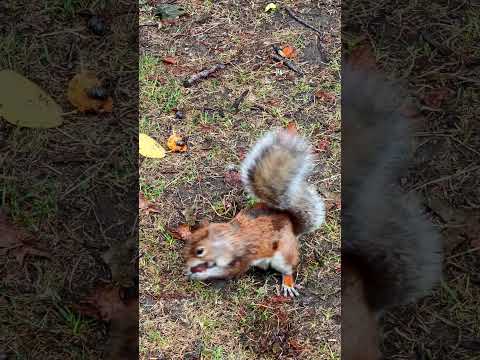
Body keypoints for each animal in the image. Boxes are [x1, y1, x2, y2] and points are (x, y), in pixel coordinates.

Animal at [182, 128, 324, 296]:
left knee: (288, 269)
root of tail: (289, 221)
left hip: (283, 254)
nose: (187, 263)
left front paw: (199, 274)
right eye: (189, 241)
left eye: (200, 251)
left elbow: (225, 271)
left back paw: (288, 283)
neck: (228, 240)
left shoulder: (242, 258)